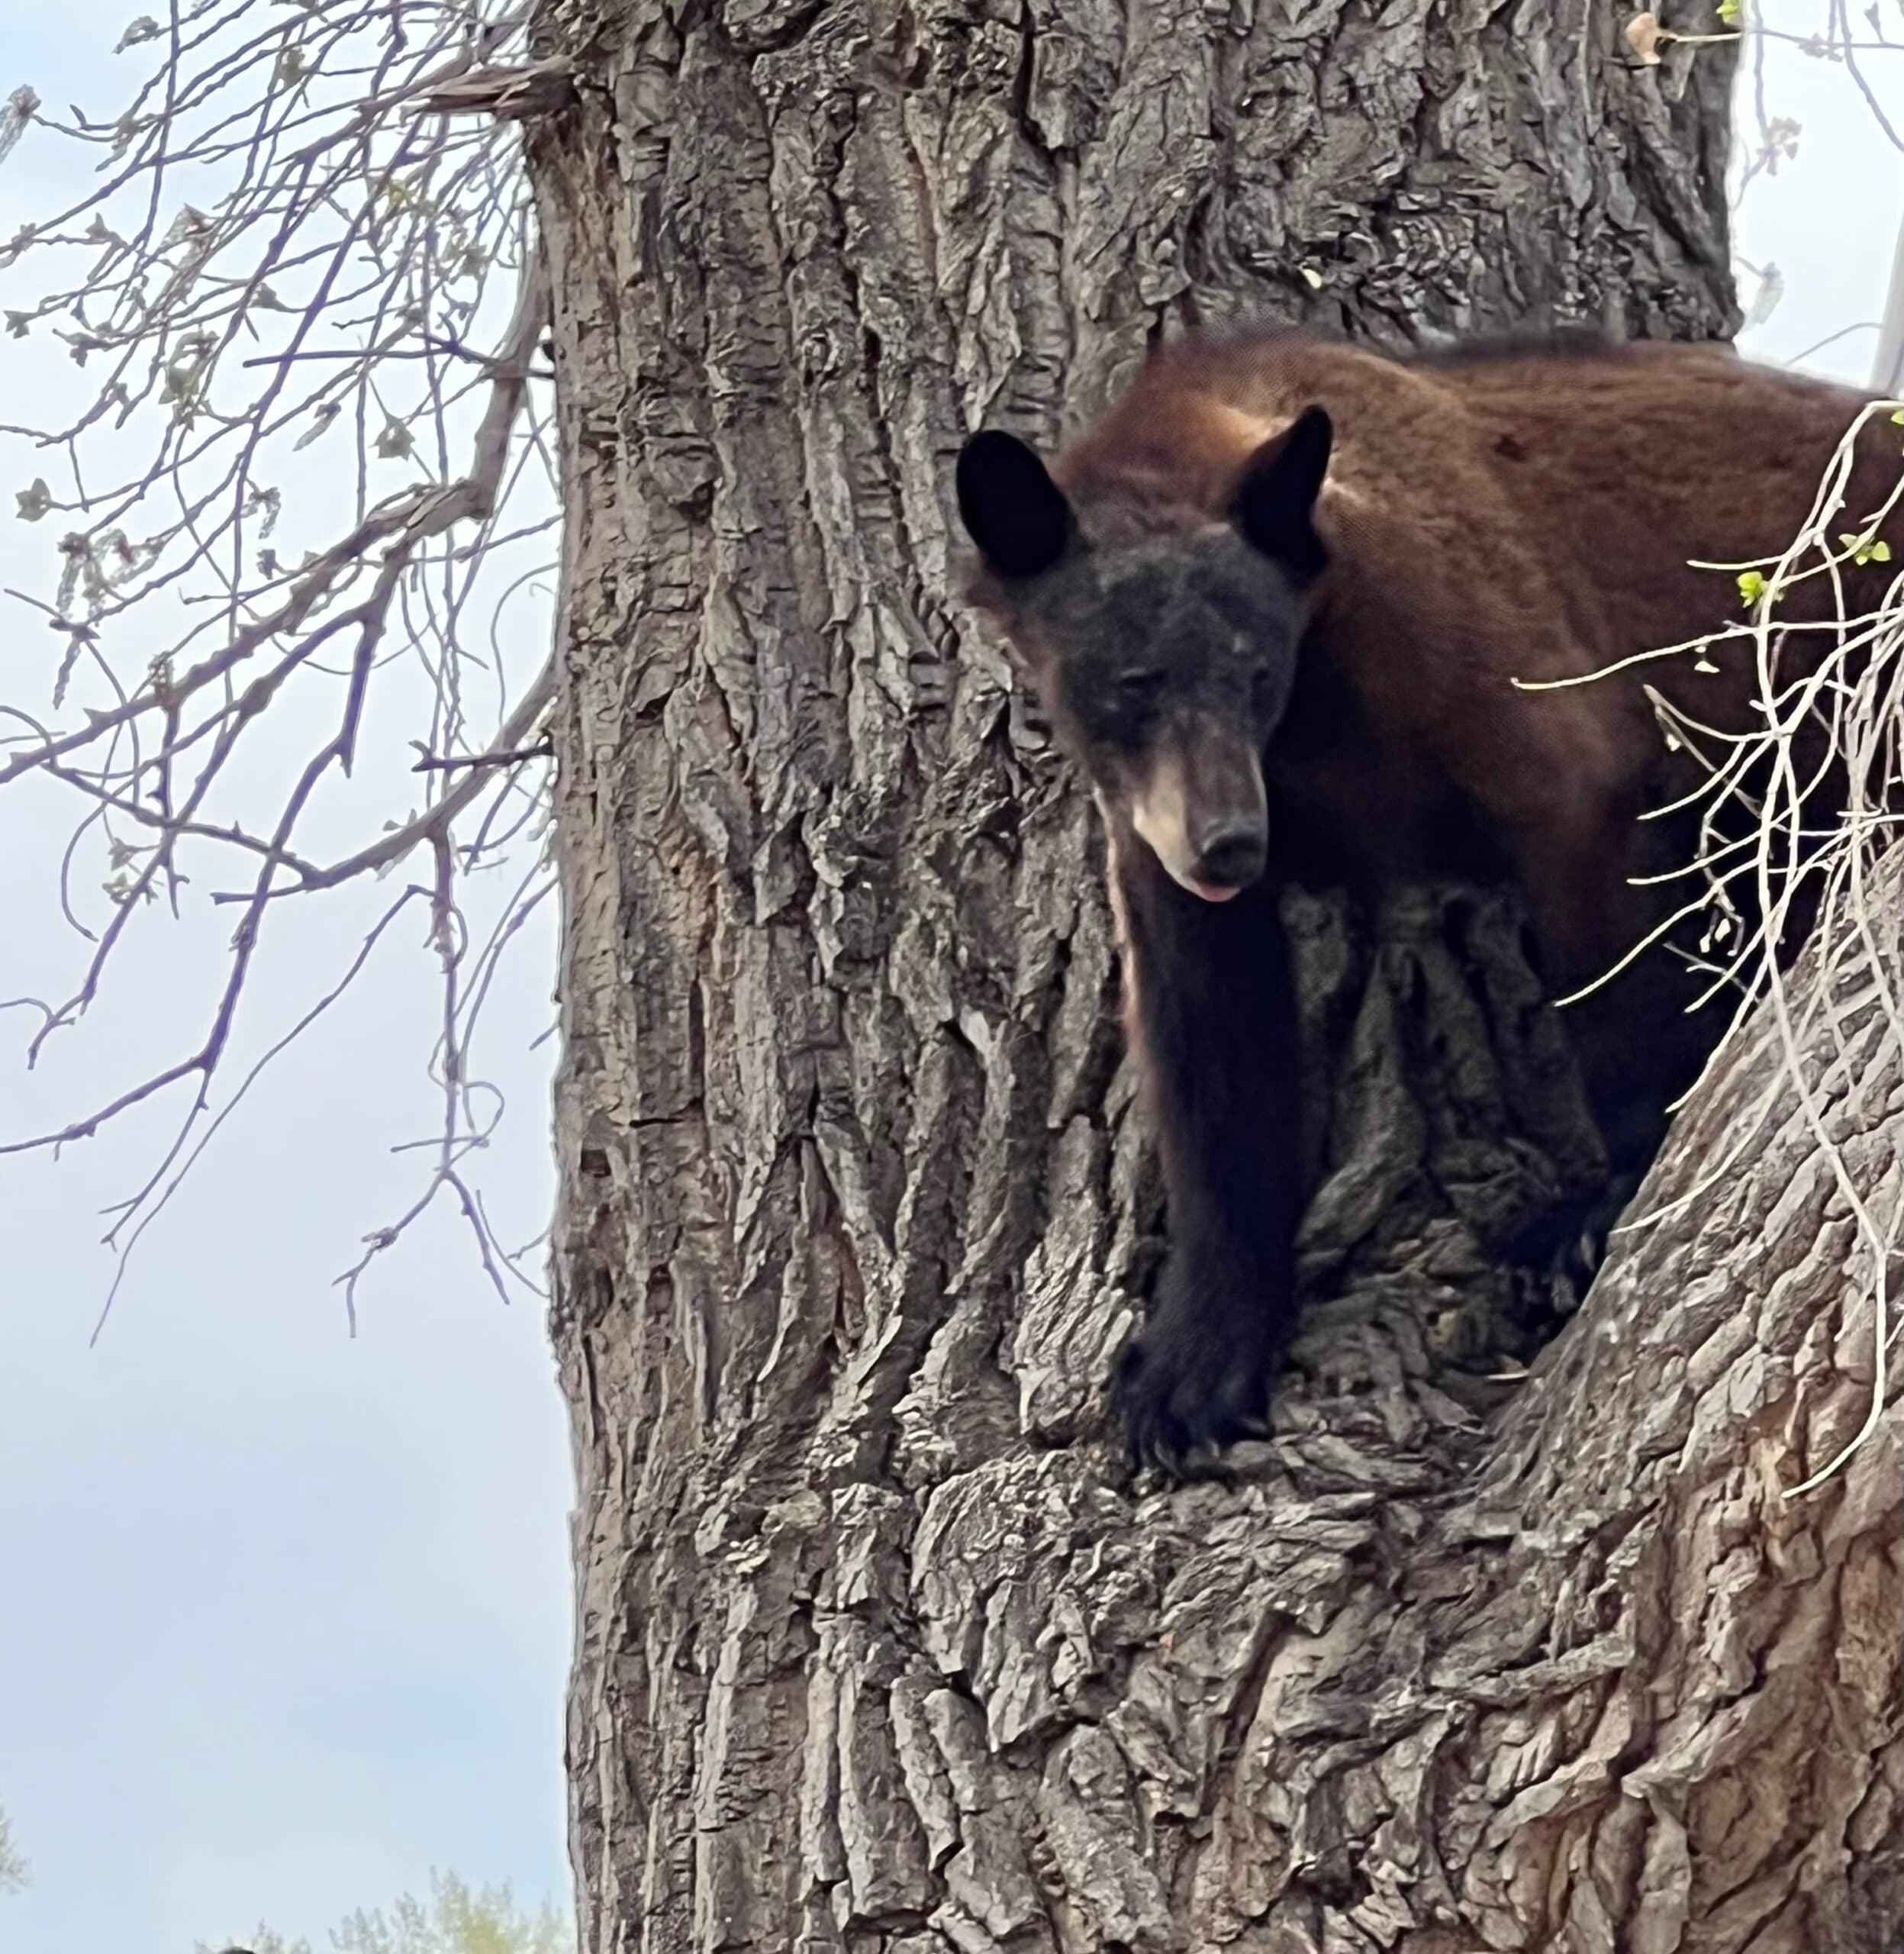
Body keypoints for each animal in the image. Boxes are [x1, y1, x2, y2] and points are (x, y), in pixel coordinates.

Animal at [953, 328, 1897, 1472]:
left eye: (1253, 670)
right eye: (1130, 684)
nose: (1230, 842)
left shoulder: (1470, 653)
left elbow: (1600, 910)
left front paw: (1584, 1218)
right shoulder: (1153, 840)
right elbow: (1207, 1044)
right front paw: (1186, 1369)